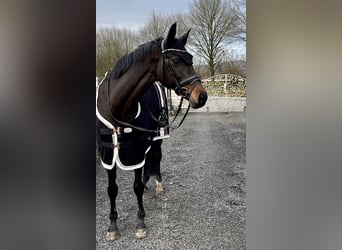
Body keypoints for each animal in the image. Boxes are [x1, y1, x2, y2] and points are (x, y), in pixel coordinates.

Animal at [95, 23, 207, 240]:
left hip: (157, 138)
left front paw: (140, 223)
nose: (202, 96)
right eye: (175, 60)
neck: (116, 105)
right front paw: (112, 226)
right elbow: (112, 189)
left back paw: (157, 186)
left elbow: (136, 186)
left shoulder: (135, 150)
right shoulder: (108, 153)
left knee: (156, 157)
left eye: (191, 59)